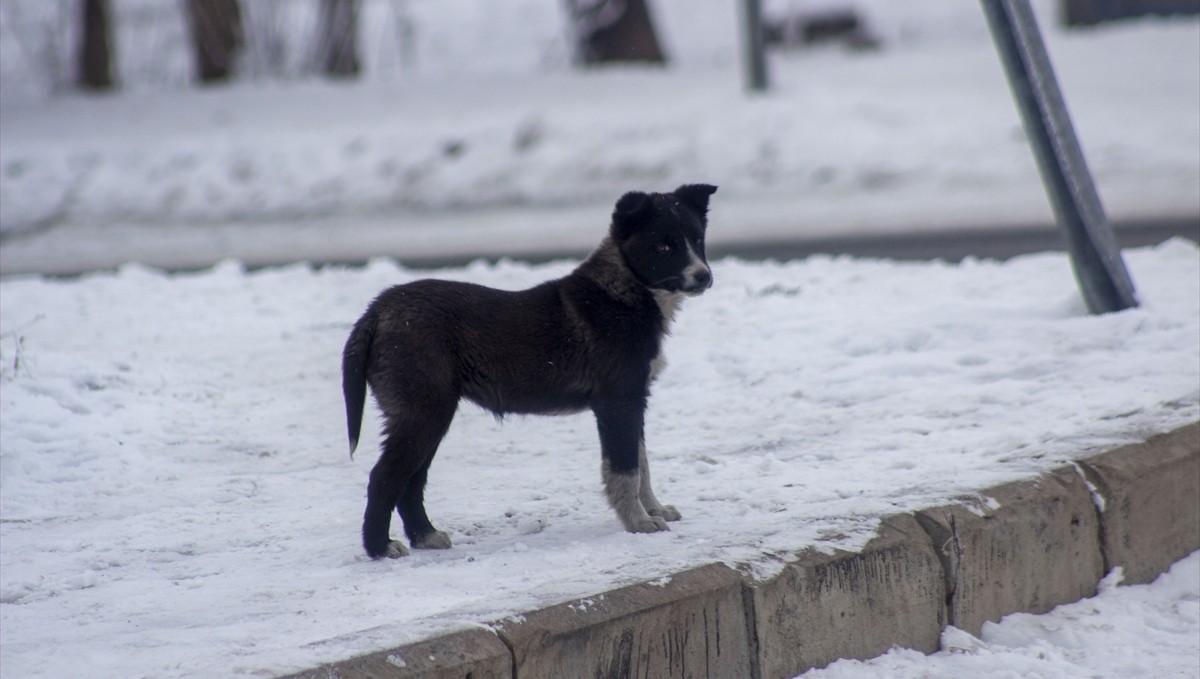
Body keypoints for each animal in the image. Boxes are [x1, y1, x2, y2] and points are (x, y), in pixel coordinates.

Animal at [343, 183, 715, 561]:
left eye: (698, 239)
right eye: (664, 246)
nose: (704, 276)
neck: (625, 289)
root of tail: (376, 312)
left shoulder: (635, 399)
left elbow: (642, 463)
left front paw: (654, 509)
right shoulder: (618, 401)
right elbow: (625, 467)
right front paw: (639, 522)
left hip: (428, 415)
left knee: (411, 480)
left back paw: (426, 536)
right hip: (423, 412)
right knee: (385, 477)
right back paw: (380, 547)